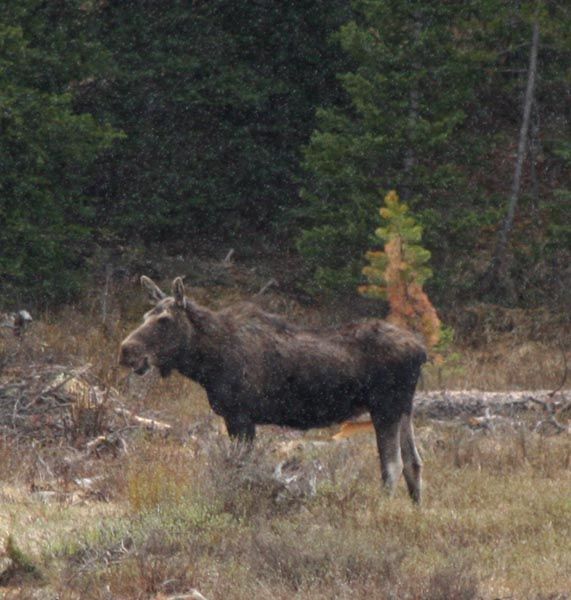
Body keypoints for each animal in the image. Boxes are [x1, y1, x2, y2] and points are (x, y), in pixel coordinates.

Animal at [118, 276, 426, 502]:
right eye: (145, 316)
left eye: (164, 320)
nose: (126, 351)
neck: (206, 364)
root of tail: (421, 351)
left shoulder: (239, 415)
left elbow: (240, 468)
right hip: (404, 408)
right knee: (414, 462)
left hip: (385, 407)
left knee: (393, 465)